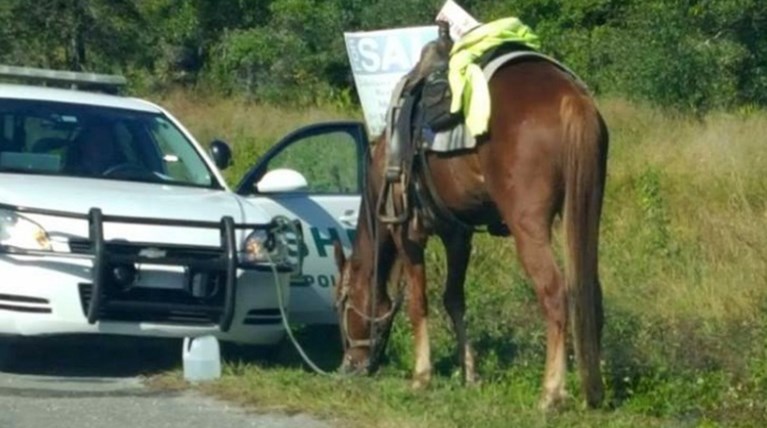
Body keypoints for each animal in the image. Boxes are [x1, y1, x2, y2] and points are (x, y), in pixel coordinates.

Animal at [332, 46, 608, 408]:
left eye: (342, 303)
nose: (348, 366)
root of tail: (570, 97)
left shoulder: (407, 235)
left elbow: (418, 302)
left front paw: (421, 376)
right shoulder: (457, 235)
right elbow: (454, 299)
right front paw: (470, 374)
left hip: (529, 228)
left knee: (555, 294)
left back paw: (550, 392)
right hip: (586, 212)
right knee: (591, 292)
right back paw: (596, 388)